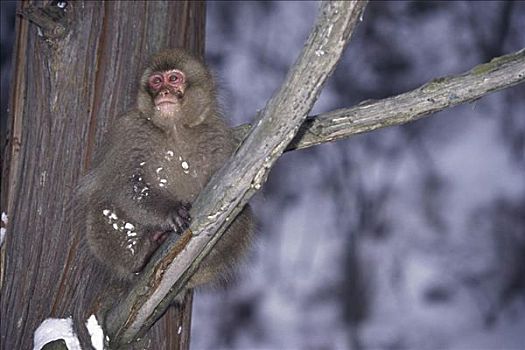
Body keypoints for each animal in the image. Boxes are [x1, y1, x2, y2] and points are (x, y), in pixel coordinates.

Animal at [74, 48, 254, 290]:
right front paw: (170, 211)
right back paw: (144, 253)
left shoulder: (218, 134)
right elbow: (125, 185)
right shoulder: (129, 131)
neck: (174, 128)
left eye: (174, 78)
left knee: (244, 217)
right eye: (157, 81)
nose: (164, 92)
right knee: (103, 201)